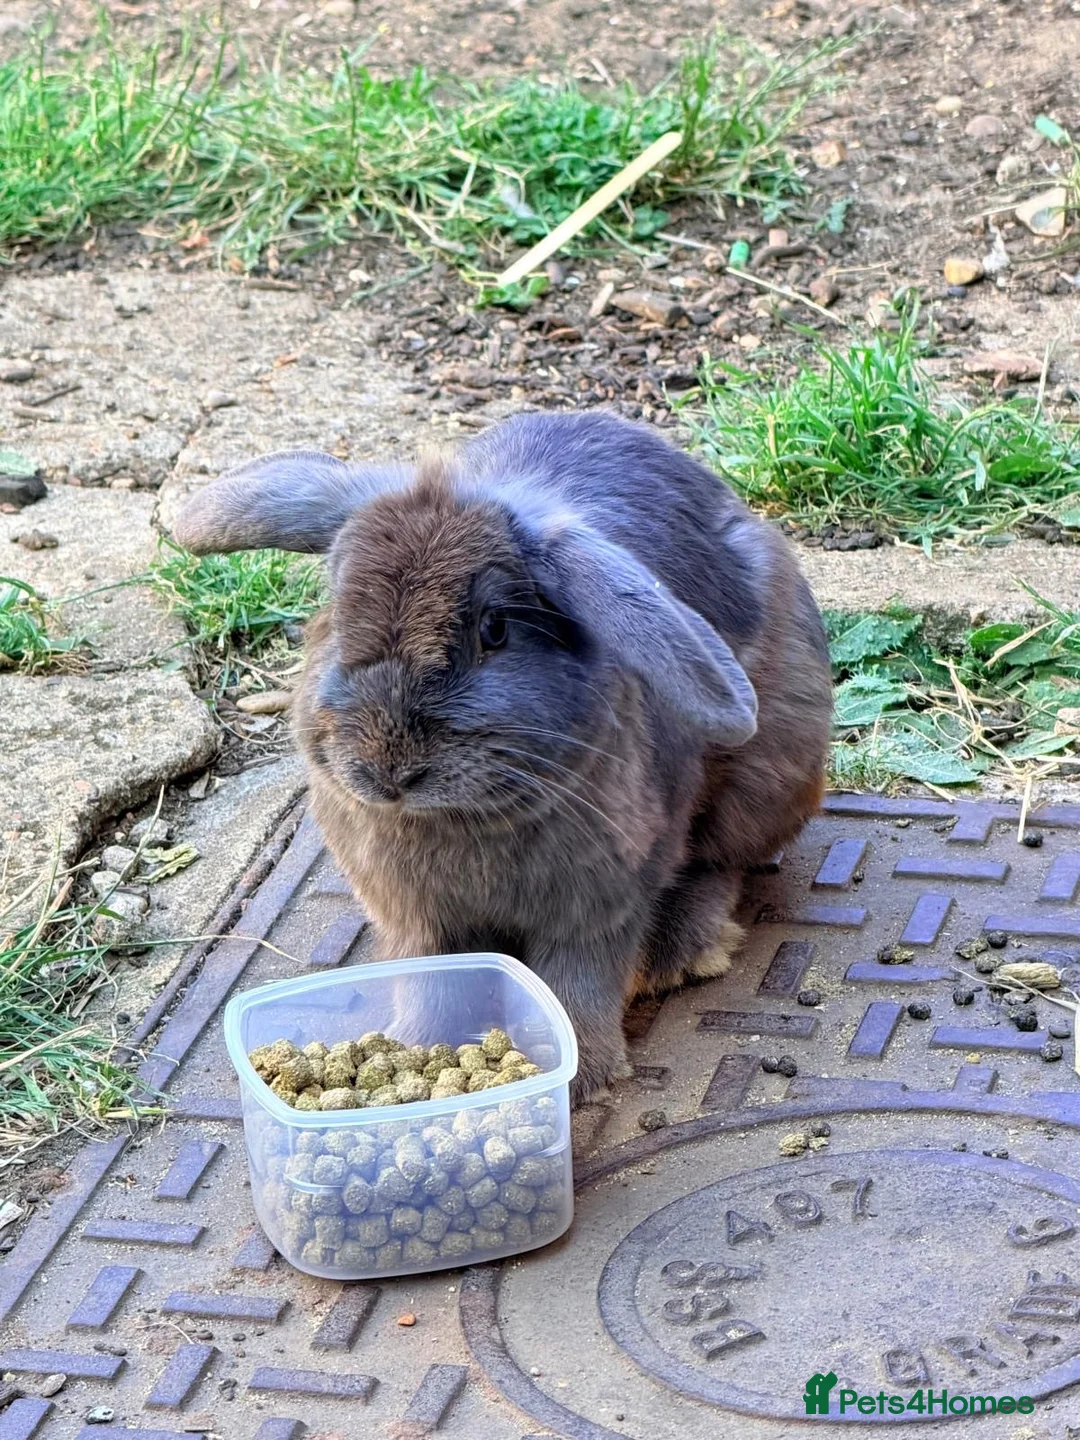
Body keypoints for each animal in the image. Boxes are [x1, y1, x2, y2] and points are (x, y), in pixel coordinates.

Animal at [174, 410, 832, 1104]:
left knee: (721, 863)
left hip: (765, 781)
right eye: (335, 611)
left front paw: (576, 1080)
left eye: (495, 629)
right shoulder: (418, 917)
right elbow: (433, 982)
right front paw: (414, 1045)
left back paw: (680, 953)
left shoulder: (596, 908)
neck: (463, 818)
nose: (387, 770)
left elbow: (577, 989)